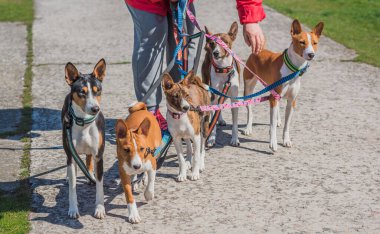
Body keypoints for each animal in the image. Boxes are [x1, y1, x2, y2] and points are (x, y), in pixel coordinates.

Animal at [61, 57, 107, 218]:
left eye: (98, 91)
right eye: (82, 92)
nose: (95, 109)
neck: (84, 123)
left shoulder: (99, 155)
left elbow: (100, 185)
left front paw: (99, 208)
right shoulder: (71, 152)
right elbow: (72, 187)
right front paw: (73, 209)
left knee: (88, 159)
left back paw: (90, 174)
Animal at [243, 18, 324, 152]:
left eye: (315, 43)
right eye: (302, 42)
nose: (311, 54)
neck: (292, 70)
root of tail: (260, 50)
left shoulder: (291, 101)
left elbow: (287, 125)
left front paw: (286, 140)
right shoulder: (274, 97)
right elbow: (271, 125)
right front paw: (273, 143)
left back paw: (277, 120)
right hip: (248, 88)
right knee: (250, 110)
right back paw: (248, 128)